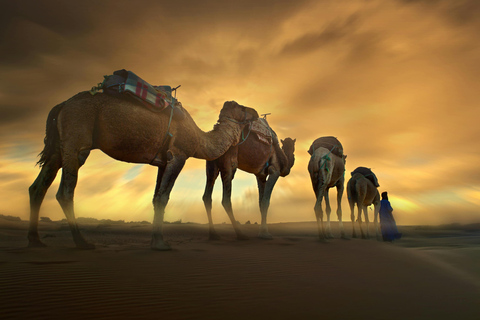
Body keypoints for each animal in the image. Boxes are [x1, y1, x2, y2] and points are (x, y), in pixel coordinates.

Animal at [27, 91, 258, 251]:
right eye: (241, 107)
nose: (256, 112)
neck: (200, 139)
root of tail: (62, 105)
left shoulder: (163, 162)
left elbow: (156, 197)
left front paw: (155, 241)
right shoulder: (179, 155)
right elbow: (164, 197)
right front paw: (161, 244)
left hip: (59, 147)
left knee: (37, 187)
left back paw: (36, 241)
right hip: (77, 136)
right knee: (65, 191)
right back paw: (82, 242)